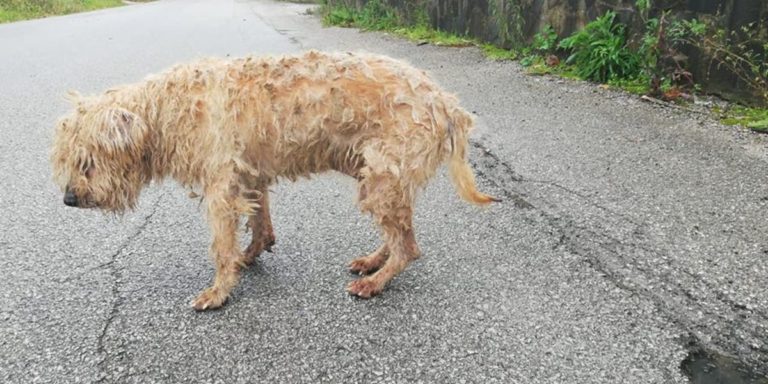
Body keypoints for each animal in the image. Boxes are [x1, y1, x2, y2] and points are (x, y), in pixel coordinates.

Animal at [51, 50, 500, 308]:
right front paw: (247, 257)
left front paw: (219, 290)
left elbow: (222, 246)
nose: (69, 199)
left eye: (87, 161)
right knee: (399, 236)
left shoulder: (221, 190)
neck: (165, 110)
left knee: (409, 246)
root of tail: (446, 103)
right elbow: (260, 228)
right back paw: (373, 262)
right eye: (69, 161)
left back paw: (375, 283)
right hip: (383, 179)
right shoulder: (248, 177)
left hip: (382, 179)